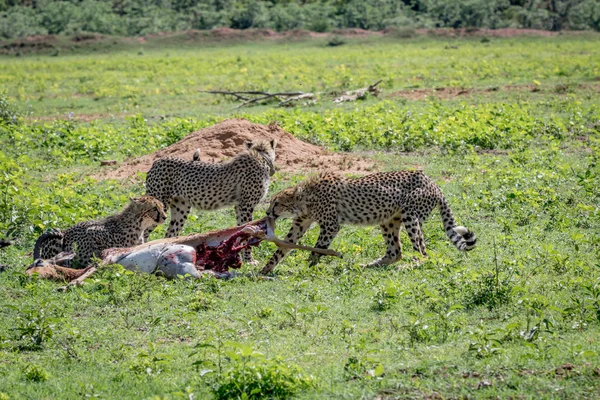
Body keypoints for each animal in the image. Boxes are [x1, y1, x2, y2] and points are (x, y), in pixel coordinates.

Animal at [34, 195, 168, 268]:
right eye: (154, 208)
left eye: (162, 207)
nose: (165, 217)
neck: (139, 225)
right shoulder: (90, 231)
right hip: (57, 235)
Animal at [145, 141, 276, 262]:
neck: (261, 156)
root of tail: (158, 161)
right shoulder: (246, 206)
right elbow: (248, 233)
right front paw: (249, 260)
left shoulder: (239, 206)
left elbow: (241, 229)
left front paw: (242, 259)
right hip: (158, 207)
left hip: (181, 207)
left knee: (170, 233)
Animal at [260, 170, 476, 274]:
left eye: (277, 202)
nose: (268, 211)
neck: (305, 198)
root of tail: (433, 183)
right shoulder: (300, 223)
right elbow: (283, 247)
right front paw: (265, 269)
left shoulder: (330, 225)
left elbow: (317, 249)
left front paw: (308, 268)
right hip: (388, 220)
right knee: (395, 252)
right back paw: (367, 266)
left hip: (411, 217)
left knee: (422, 252)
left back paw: (410, 265)